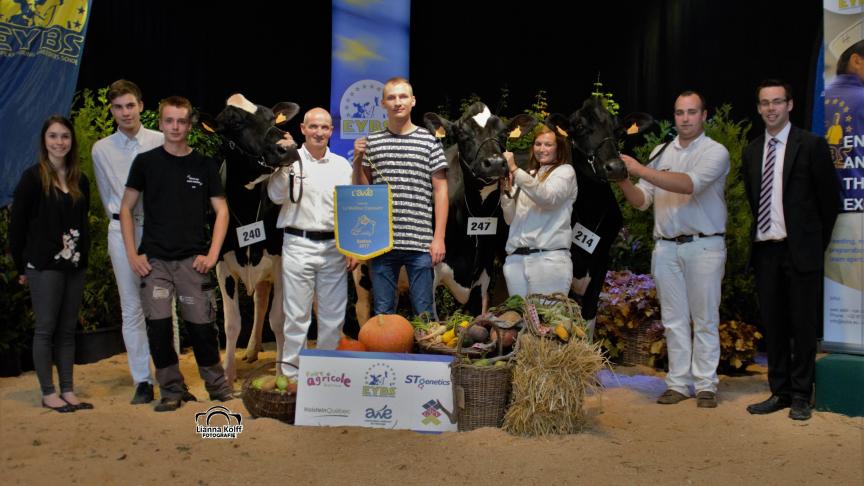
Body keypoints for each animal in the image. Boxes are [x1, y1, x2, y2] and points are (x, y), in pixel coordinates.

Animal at [200, 94, 300, 384]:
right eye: (234, 123)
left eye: (272, 117)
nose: (287, 147)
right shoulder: (222, 264)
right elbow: (232, 323)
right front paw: (227, 372)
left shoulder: (280, 259)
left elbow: (278, 319)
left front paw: (281, 372)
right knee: (260, 300)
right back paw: (253, 349)